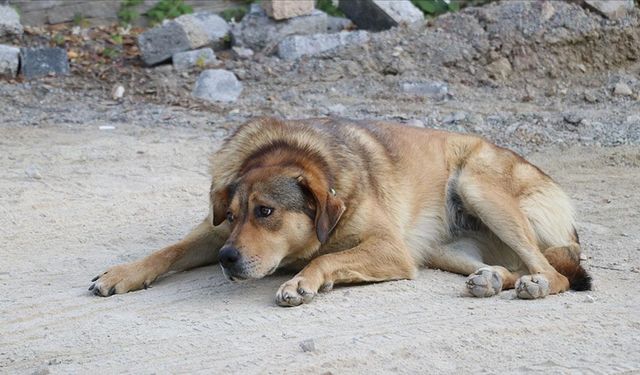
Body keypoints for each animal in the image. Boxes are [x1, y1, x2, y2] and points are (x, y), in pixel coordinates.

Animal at [89, 117, 592, 306]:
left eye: (266, 211)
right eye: (231, 216)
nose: (227, 261)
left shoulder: (391, 249)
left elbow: (327, 257)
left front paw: (302, 280)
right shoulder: (212, 235)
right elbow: (168, 250)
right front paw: (122, 273)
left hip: (477, 187)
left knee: (556, 272)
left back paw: (536, 285)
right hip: (448, 251)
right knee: (512, 267)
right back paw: (491, 279)